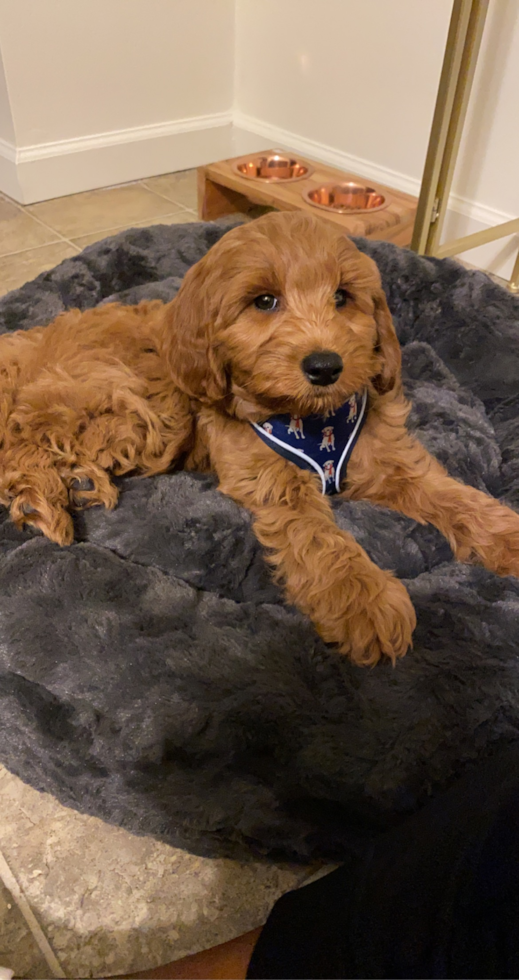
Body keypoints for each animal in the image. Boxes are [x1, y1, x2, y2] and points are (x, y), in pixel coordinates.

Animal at [1, 210, 519, 664]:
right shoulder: (270, 476)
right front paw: (359, 596)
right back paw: (45, 500)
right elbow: (317, 534)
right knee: (23, 440)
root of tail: (24, 346)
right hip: (130, 413)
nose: (325, 366)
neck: (311, 418)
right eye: (265, 302)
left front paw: (507, 536)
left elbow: (448, 492)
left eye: (342, 297)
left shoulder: (388, 456)